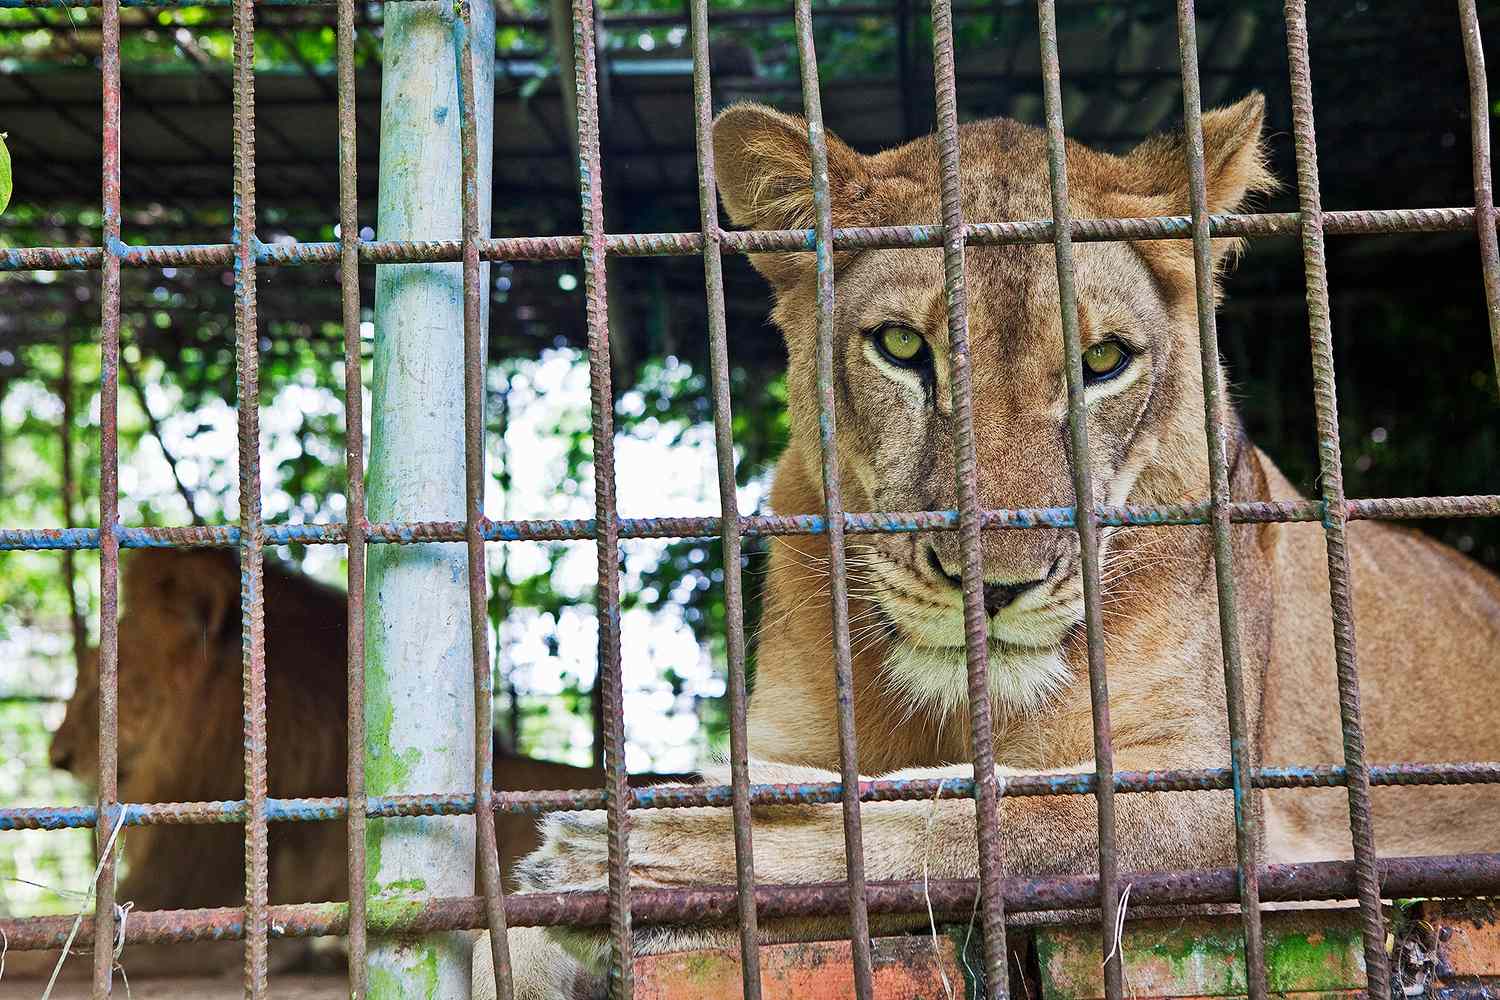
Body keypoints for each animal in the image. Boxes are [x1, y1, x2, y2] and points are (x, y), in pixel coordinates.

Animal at [488, 95, 1500, 997]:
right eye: (902, 348)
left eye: (1103, 363)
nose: (997, 587)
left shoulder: (1223, 799)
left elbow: (965, 820)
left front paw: (635, 853)